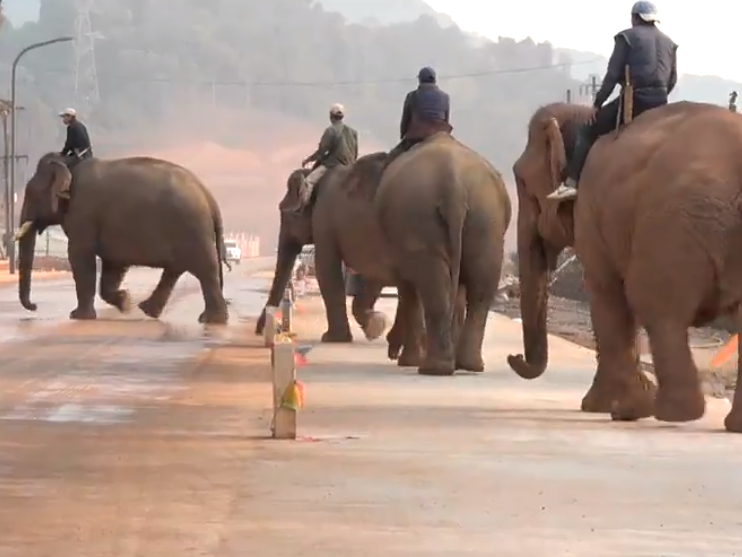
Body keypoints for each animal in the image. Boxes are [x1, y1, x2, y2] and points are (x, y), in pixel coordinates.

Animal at [16, 153, 229, 324]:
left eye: (32, 194)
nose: (34, 306)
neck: (69, 163)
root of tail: (209, 197)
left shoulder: (83, 213)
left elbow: (80, 256)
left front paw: (78, 316)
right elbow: (113, 264)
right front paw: (126, 302)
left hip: (192, 228)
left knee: (204, 269)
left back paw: (210, 320)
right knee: (176, 269)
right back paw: (148, 310)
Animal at [256, 153, 425, 366]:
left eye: (285, 212)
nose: (260, 330)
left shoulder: (323, 220)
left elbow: (326, 269)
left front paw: (333, 338)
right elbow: (371, 276)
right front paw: (375, 326)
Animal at [372, 133, 512, 375]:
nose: (391, 351)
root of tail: (453, 186)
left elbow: (406, 287)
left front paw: (408, 361)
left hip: (419, 218)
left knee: (433, 285)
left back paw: (433, 368)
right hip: (486, 220)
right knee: (482, 285)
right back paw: (468, 365)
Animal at [509, 100, 742, 432]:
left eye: (525, 185)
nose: (514, 356)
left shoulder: (589, 211)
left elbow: (605, 293)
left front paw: (621, 410)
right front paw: (598, 406)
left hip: (672, 229)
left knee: (656, 307)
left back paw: (672, 413)